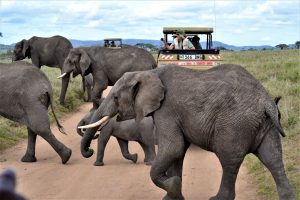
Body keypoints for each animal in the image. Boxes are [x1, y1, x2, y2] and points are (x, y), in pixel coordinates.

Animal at [78, 64, 294, 200]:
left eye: (115, 97)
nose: (88, 151)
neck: (150, 72)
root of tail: (266, 101)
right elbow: (178, 152)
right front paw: (172, 196)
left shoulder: (167, 110)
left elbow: (173, 148)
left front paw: (173, 186)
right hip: (266, 124)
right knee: (273, 158)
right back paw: (287, 196)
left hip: (235, 124)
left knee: (229, 161)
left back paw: (217, 199)